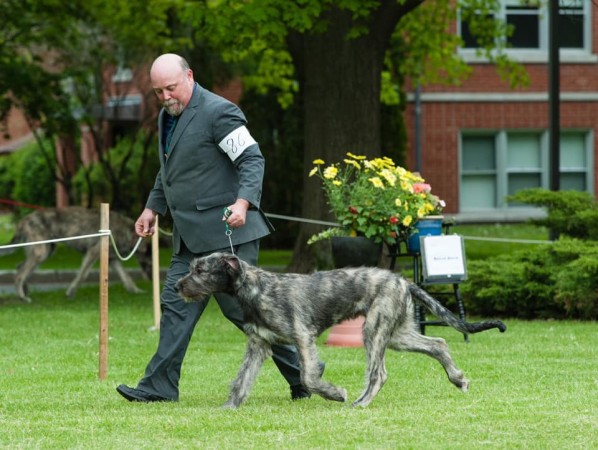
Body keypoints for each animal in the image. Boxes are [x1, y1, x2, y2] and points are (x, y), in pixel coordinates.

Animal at [176, 251, 508, 410]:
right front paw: (229, 407)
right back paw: (458, 379)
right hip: (397, 334)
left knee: (379, 372)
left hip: (374, 329)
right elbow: (242, 379)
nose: (178, 285)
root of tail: (403, 280)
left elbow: (309, 378)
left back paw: (361, 402)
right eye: (192, 267)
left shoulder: (303, 337)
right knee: (438, 342)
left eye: (200, 270)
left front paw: (335, 394)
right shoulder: (258, 344)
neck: (257, 289)